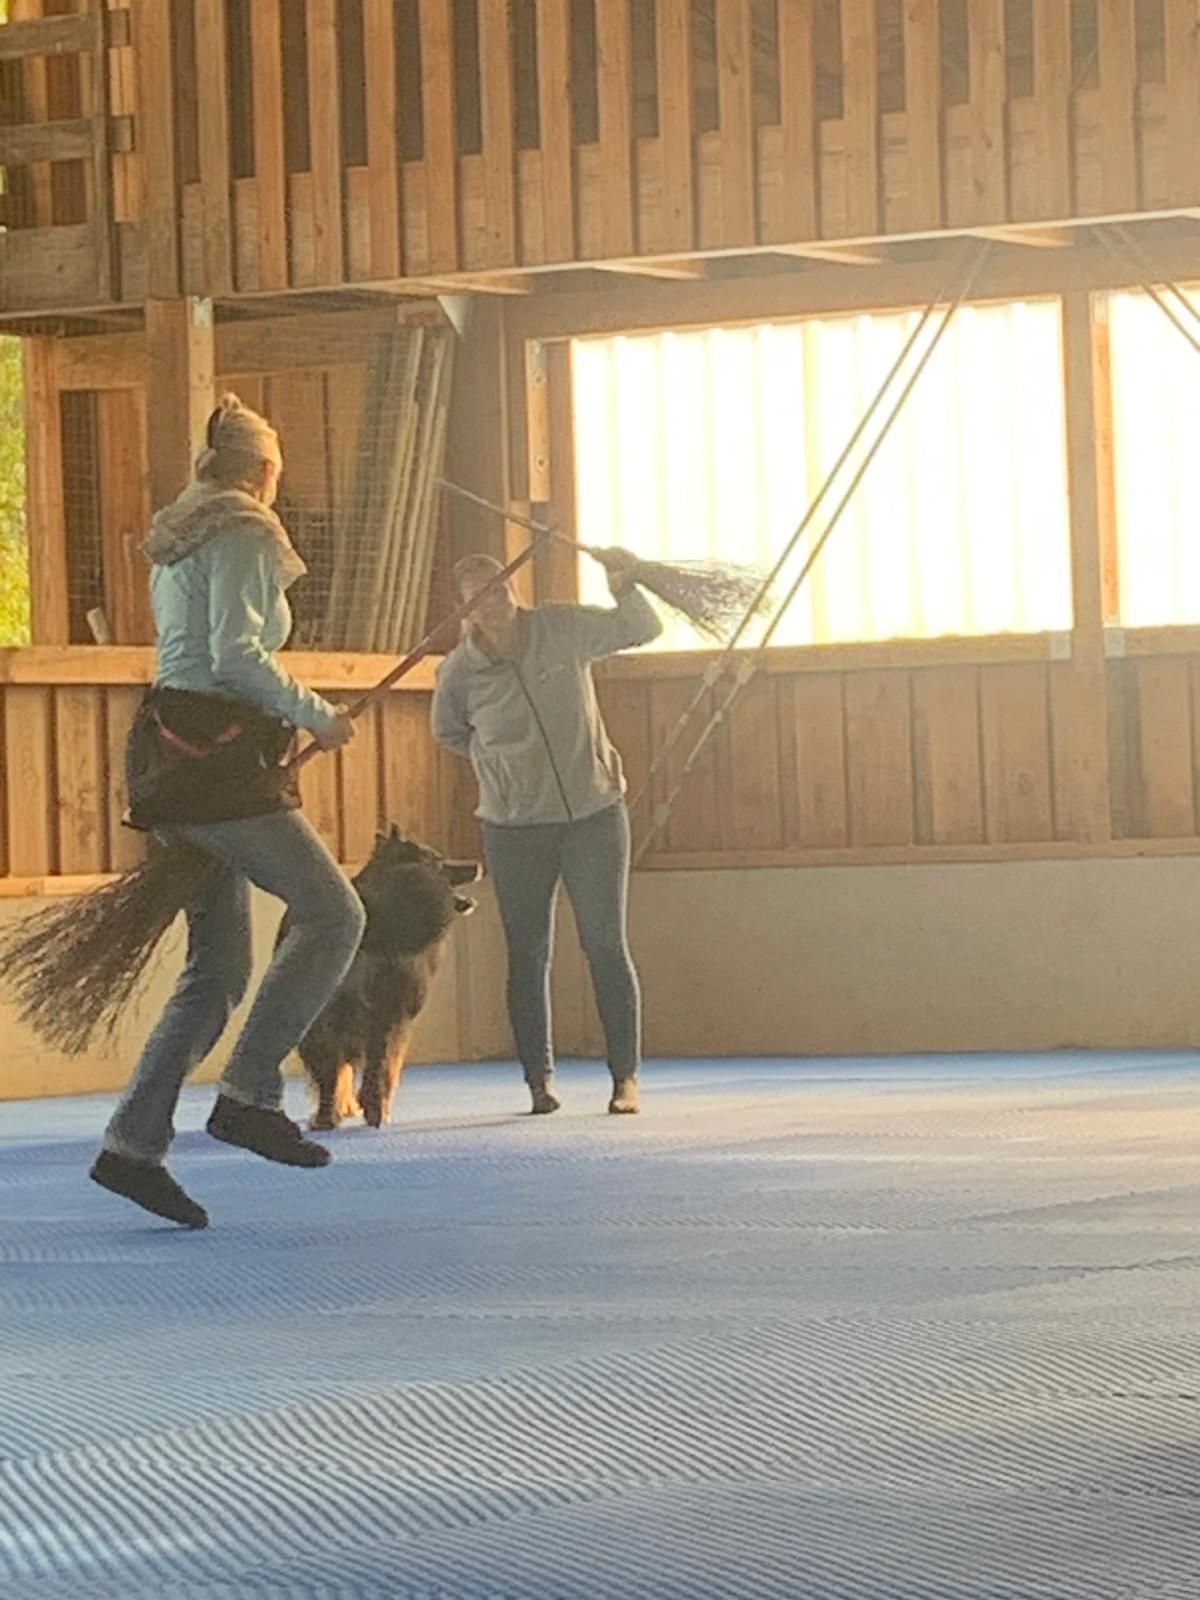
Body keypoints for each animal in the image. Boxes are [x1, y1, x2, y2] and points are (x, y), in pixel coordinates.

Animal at [288, 826, 480, 1129]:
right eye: (439, 860)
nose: (477, 865)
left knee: (340, 1070)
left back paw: (336, 1114)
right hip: (378, 1017)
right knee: (368, 1070)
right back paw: (365, 1111)